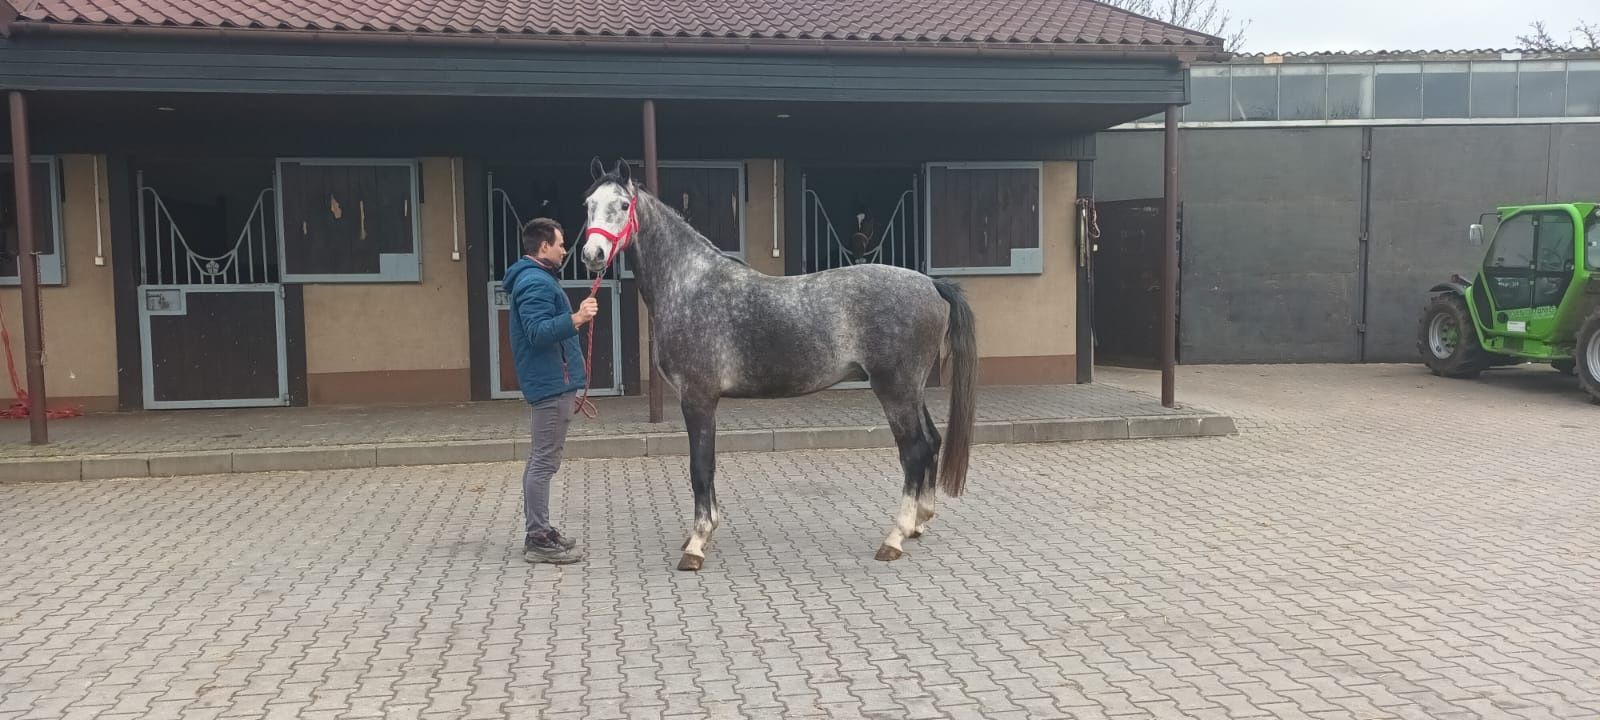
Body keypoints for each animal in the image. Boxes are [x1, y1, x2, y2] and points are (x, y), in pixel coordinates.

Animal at [576, 160, 972, 569]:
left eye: (623, 205)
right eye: (588, 204)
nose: (593, 253)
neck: (689, 286)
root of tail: (931, 284)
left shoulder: (698, 398)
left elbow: (700, 468)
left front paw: (696, 543)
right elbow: (707, 465)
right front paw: (703, 532)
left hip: (894, 390)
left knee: (914, 451)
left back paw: (894, 537)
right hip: (912, 390)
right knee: (932, 441)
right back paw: (918, 523)